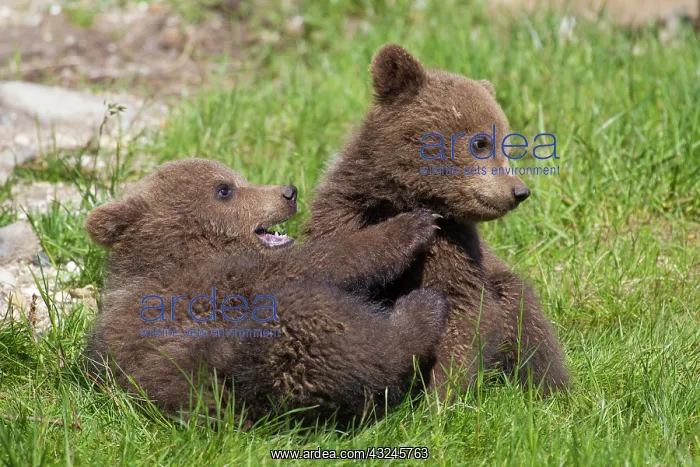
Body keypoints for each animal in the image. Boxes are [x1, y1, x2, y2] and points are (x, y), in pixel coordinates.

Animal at [85, 158, 450, 425]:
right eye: (224, 190)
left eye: (238, 177)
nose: (289, 192)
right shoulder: (220, 282)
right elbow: (318, 261)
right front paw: (411, 225)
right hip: (243, 362)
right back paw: (422, 308)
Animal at [304, 44, 569, 397]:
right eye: (480, 142)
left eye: (506, 142)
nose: (518, 191)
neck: (405, 196)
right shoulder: (344, 215)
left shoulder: (453, 243)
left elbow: (463, 309)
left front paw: (439, 395)